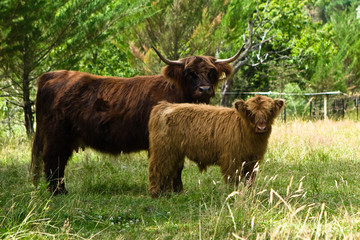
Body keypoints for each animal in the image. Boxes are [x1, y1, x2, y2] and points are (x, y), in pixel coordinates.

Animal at [29, 47, 243, 195]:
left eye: (212, 72)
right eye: (190, 73)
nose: (205, 89)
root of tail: (50, 75)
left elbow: (177, 166)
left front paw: (177, 190)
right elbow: (168, 165)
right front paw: (166, 191)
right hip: (57, 136)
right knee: (52, 161)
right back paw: (58, 193)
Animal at [148, 94, 286, 198]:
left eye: (269, 111)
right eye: (250, 112)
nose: (261, 127)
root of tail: (165, 106)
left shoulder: (252, 161)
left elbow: (249, 180)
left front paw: (248, 194)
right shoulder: (231, 160)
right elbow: (233, 179)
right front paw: (233, 194)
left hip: (175, 154)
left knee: (169, 172)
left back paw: (167, 193)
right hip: (164, 151)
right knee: (157, 169)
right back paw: (156, 194)